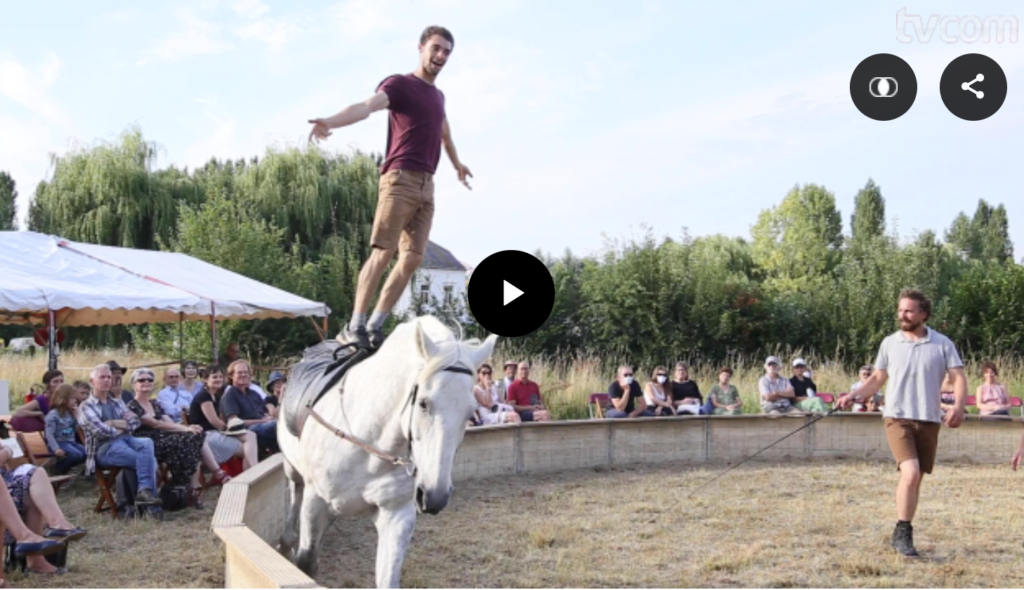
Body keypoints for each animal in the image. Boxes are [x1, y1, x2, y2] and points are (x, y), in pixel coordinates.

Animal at [277, 316, 498, 587]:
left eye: (469, 413)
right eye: (423, 404)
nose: (434, 497)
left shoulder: (396, 515)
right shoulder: (315, 501)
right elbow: (306, 561)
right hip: (292, 468)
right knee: (294, 489)